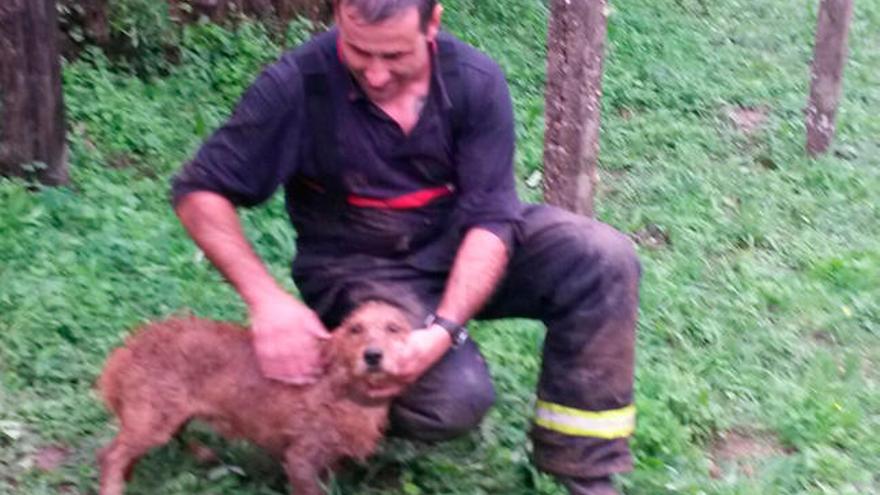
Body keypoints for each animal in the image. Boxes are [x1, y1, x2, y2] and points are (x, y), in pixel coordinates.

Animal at [98, 300, 414, 495]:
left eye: (394, 328)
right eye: (355, 329)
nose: (372, 355)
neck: (343, 389)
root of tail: (132, 346)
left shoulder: (327, 460)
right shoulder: (300, 458)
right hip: (152, 419)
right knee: (110, 455)